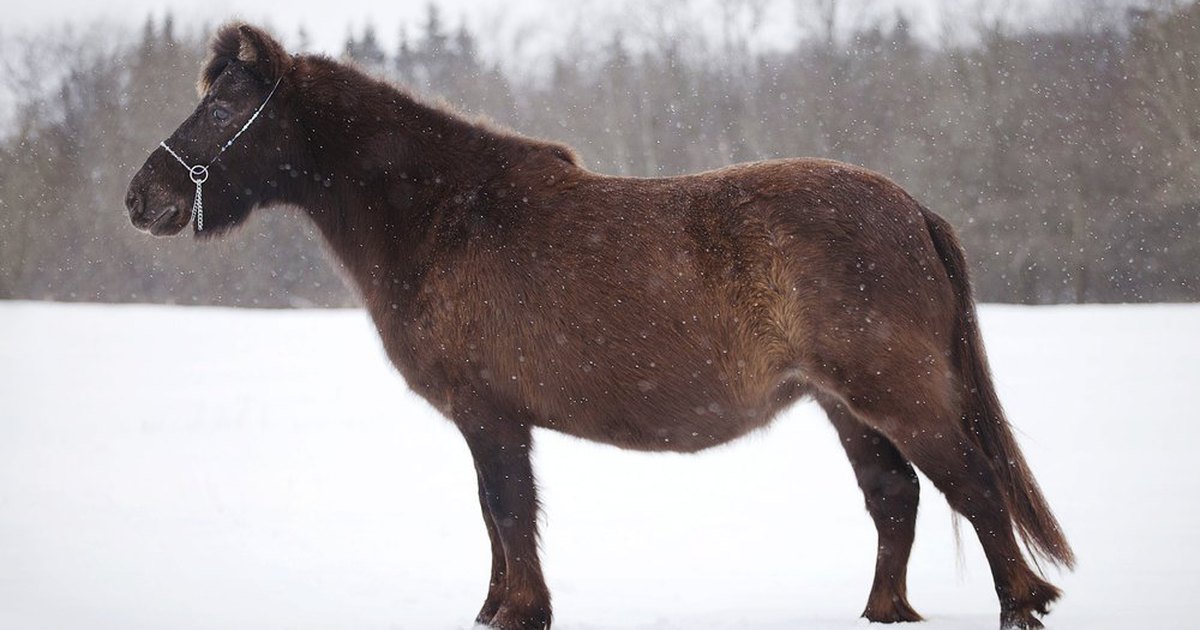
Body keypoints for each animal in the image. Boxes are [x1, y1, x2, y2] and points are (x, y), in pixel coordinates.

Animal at [126, 23, 1075, 628]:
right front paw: (494, 608)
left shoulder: (489, 416)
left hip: (897, 395)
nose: (143, 198)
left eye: (222, 110)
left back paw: (1019, 605)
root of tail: (909, 206)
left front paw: (519, 612)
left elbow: (508, 511)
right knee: (895, 498)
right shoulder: (488, 421)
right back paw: (883, 614)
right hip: (845, 405)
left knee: (973, 488)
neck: (445, 213)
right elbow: (493, 518)